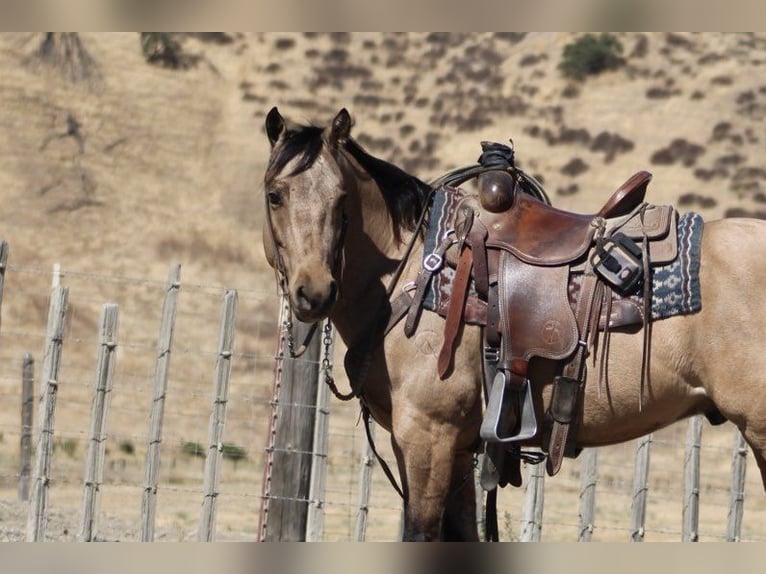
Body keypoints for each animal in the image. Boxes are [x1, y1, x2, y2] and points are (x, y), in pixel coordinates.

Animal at [261, 106, 766, 541]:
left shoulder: (427, 435)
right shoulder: (459, 448)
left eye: (342, 198)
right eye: (274, 195)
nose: (314, 292)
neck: (412, 273)